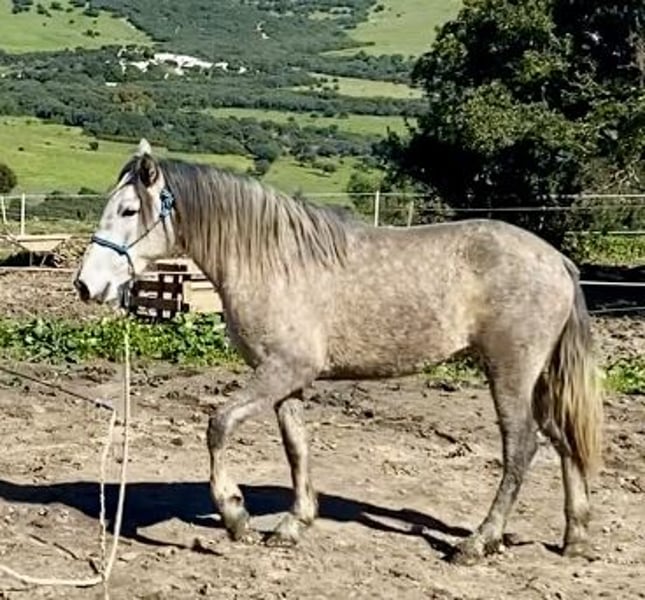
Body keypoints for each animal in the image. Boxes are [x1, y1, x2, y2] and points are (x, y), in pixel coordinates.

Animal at [74, 139, 603, 564]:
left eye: (128, 211)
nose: (86, 285)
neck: (274, 260)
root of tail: (557, 260)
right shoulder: (287, 379)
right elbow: (297, 447)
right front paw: (292, 525)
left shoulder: (281, 371)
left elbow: (218, 425)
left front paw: (235, 516)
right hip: (536, 378)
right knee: (562, 438)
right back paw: (576, 537)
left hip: (509, 371)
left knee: (522, 447)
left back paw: (477, 542)